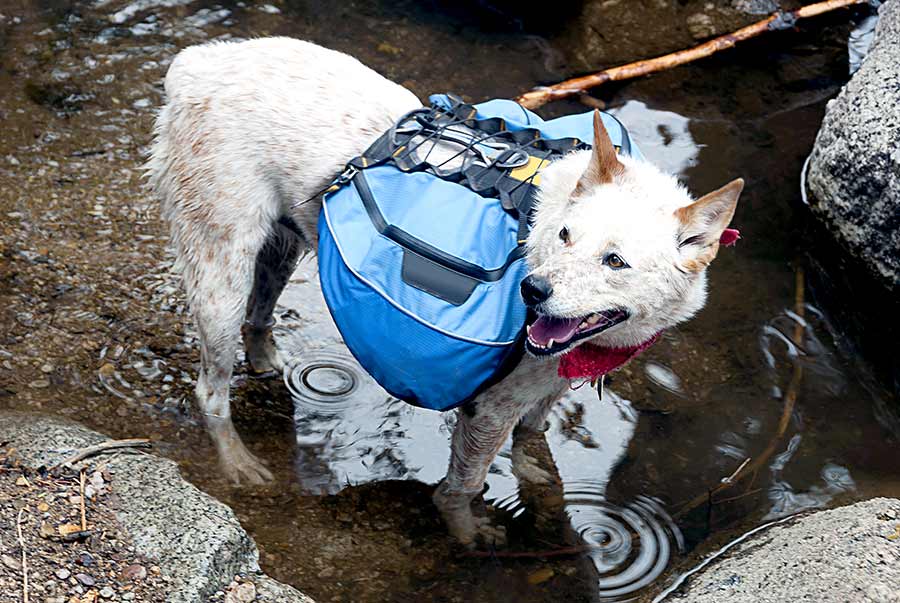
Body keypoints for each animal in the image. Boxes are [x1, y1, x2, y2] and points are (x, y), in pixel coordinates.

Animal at [149, 36, 744, 548]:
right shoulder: (488, 408)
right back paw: (239, 463)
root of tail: (196, 66)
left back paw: (267, 360)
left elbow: (533, 435)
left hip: (284, 244)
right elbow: (466, 482)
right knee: (211, 389)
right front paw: (466, 531)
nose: (532, 290)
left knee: (261, 312)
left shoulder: (547, 386)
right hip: (220, 264)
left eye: (615, 261)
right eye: (564, 235)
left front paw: (535, 474)